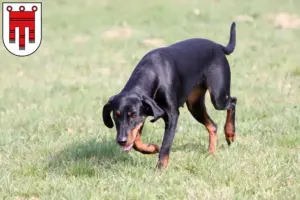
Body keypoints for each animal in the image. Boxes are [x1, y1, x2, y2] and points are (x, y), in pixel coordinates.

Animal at [102, 21, 237, 169]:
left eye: (133, 115)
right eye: (115, 115)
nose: (121, 140)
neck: (152, 72)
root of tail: (218, 46)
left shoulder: (171, 115)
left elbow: (165, 145)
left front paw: (160, 168)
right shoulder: (144, 112)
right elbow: (136, 142)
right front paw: (152, 148)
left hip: (218, 97)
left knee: (232, 102)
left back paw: (230, 133)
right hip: (194, 104)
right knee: (213, 126)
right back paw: (211, 153)